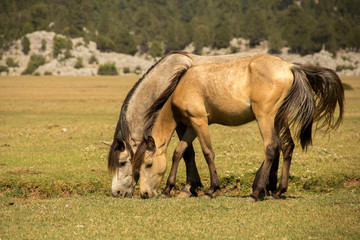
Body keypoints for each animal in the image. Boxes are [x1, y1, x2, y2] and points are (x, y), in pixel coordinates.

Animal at [131, 53, 344, 200]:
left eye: (148, 164)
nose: (144, 194)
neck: (182, 84)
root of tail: (290, 66)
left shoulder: (199, 121)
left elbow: (207, 152)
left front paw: (211, 189)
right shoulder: (192, 125)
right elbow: (179, 152)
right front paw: (168, 189)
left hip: (265, 117)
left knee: (271, 147)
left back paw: (256, 192)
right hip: (279, 119)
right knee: (287, 146)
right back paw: (278, 191)